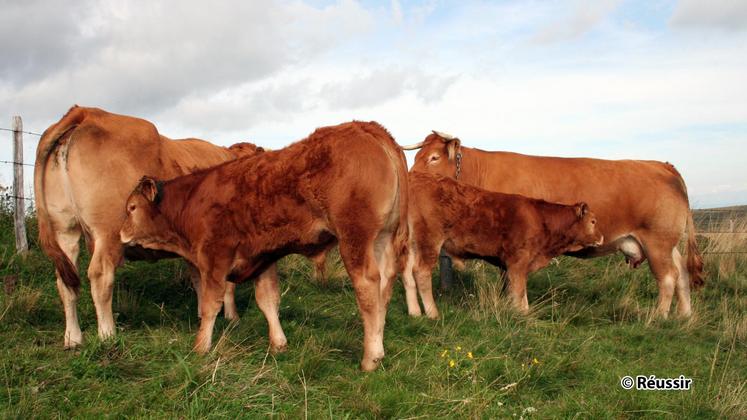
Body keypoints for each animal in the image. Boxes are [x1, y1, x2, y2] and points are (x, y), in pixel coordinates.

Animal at [120, 121, 410, 370]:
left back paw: (370, 357)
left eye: (131, 207)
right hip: (383, 238)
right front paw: (278, 344)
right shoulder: (262, 256)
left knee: (368, 286)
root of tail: (365, 127)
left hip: (355, 239)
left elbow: (210, 303)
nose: (120, 232)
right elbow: (268, 300)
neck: (192, 200)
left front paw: (200, 347)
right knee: (384, 285)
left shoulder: (214, 257)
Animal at [404, 172, 600, 316]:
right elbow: (519, 293)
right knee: (421, 272)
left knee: (407, 273)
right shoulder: (518, 262)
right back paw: (432, 314)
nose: (601, 237)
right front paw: (522, 315)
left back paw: (415, 313)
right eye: (593, 221)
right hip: (429, 240)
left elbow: (519, 293)